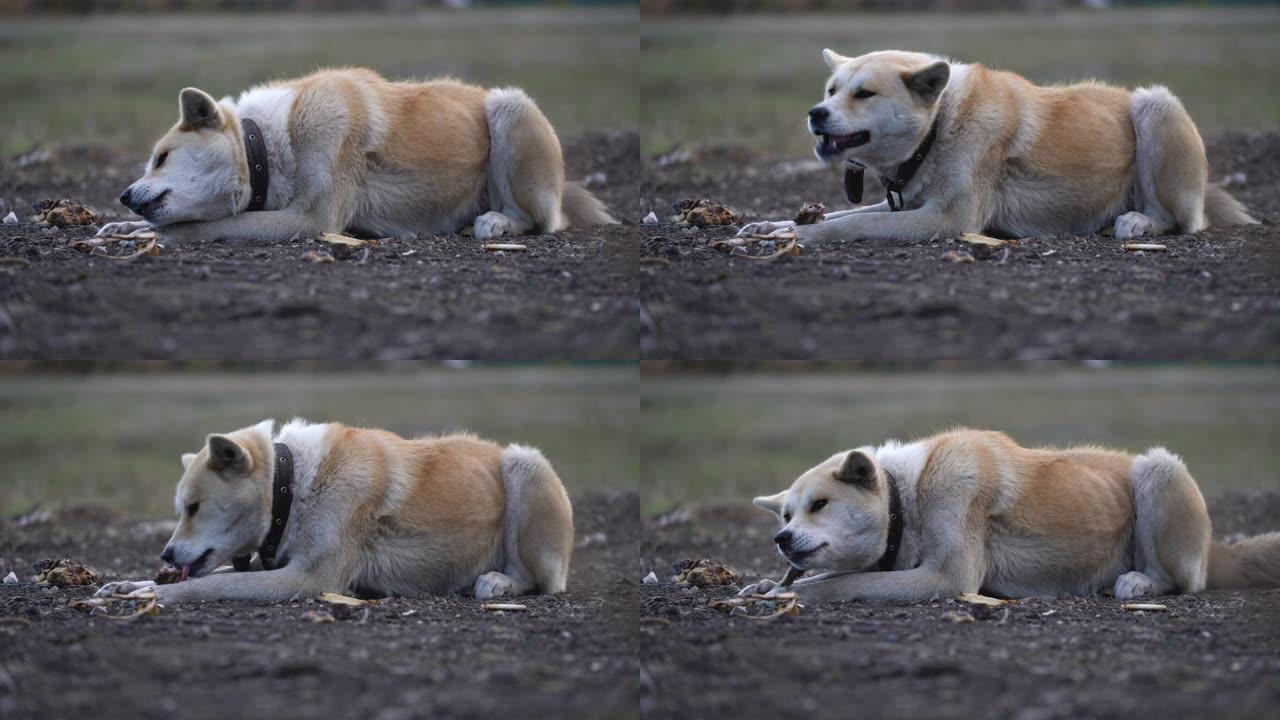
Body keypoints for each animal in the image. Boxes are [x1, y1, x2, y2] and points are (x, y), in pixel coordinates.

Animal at [97, 68, 616, 244]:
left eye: (162, 158)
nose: (122, 196)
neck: (267, 144)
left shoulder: (312, 219)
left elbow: (206, 226)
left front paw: (141, 237)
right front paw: (119, 227)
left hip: (509, 107)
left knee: (542, 221)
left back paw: (497, 222)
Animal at [98, 417, 576, 602]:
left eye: (194, 508)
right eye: (181, 510)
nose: (164, 555)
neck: (291, 486)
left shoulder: (312, 578)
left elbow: (210, 585)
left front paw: (155, 594)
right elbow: (211, 578)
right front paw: (128, 584)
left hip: (524, 464)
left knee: (538, 580)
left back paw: (496, 582)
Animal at [737, 49, 1254, 243]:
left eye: (865, 94)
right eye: (831, 90)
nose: (816, 113)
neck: (940, 126)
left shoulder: (949, 220)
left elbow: (850, 225)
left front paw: (791, 237)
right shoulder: (909, 203)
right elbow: (842, 215)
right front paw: (770, 225)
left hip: (1155, 105)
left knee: (1180, 220)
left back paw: (1135, 221)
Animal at [742, 427, 1280, 602]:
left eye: (820, 505)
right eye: (785, 516)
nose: (781, 540)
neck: (907, 499)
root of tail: (1215, 548)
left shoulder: (949, 579)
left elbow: (842, 582)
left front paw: (788, 594)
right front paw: (765, 585)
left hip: (1158, 470)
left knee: (1183, 581)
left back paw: (1137, 582)